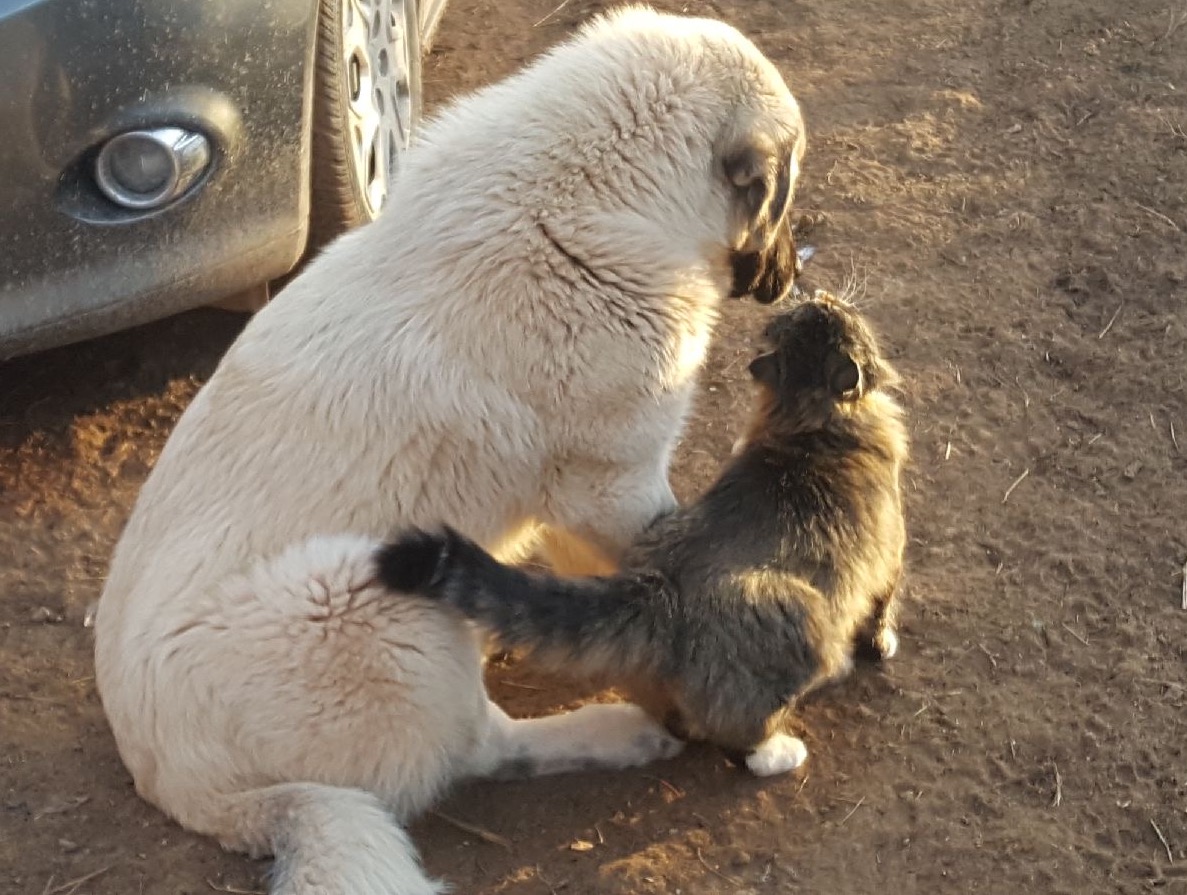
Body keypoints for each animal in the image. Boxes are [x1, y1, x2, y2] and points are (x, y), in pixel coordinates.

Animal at [92, 8, 807, 892]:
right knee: (482, 748)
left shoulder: (583, 498)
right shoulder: (616, 485)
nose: (788, 280)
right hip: (362, 595)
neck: (584, 199)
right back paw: (611, 730)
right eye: (787, 189)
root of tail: (182, 790)